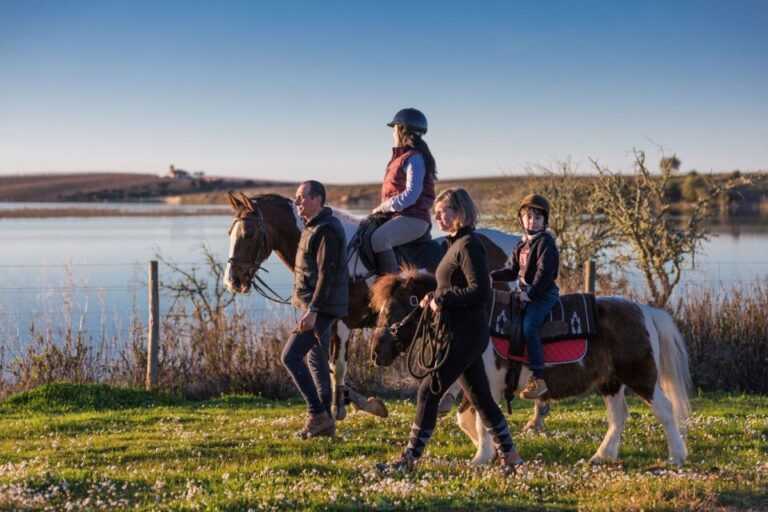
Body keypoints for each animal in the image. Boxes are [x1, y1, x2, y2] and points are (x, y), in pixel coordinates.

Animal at [222, 190, 520, 418]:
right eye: (230, 233)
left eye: (249, 234)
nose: (232, 280)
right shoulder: (330, 323)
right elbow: (331, 366)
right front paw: (359, 402)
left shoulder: (342, 322)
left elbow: (338, 365)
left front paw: (342, 408)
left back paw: (446, 399)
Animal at [368, 270, 692, 466]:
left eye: (398, 307)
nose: (375, 352)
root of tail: (645, 311)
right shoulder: (472, 384)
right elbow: (469, 419)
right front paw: (491, 452)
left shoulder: (486, 384)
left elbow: (482, 419)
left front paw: (482, 456)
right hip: (610, 382)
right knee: (619, 417)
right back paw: (602, 455)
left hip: (641, 376)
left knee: (664, 411)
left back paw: (676, 456)